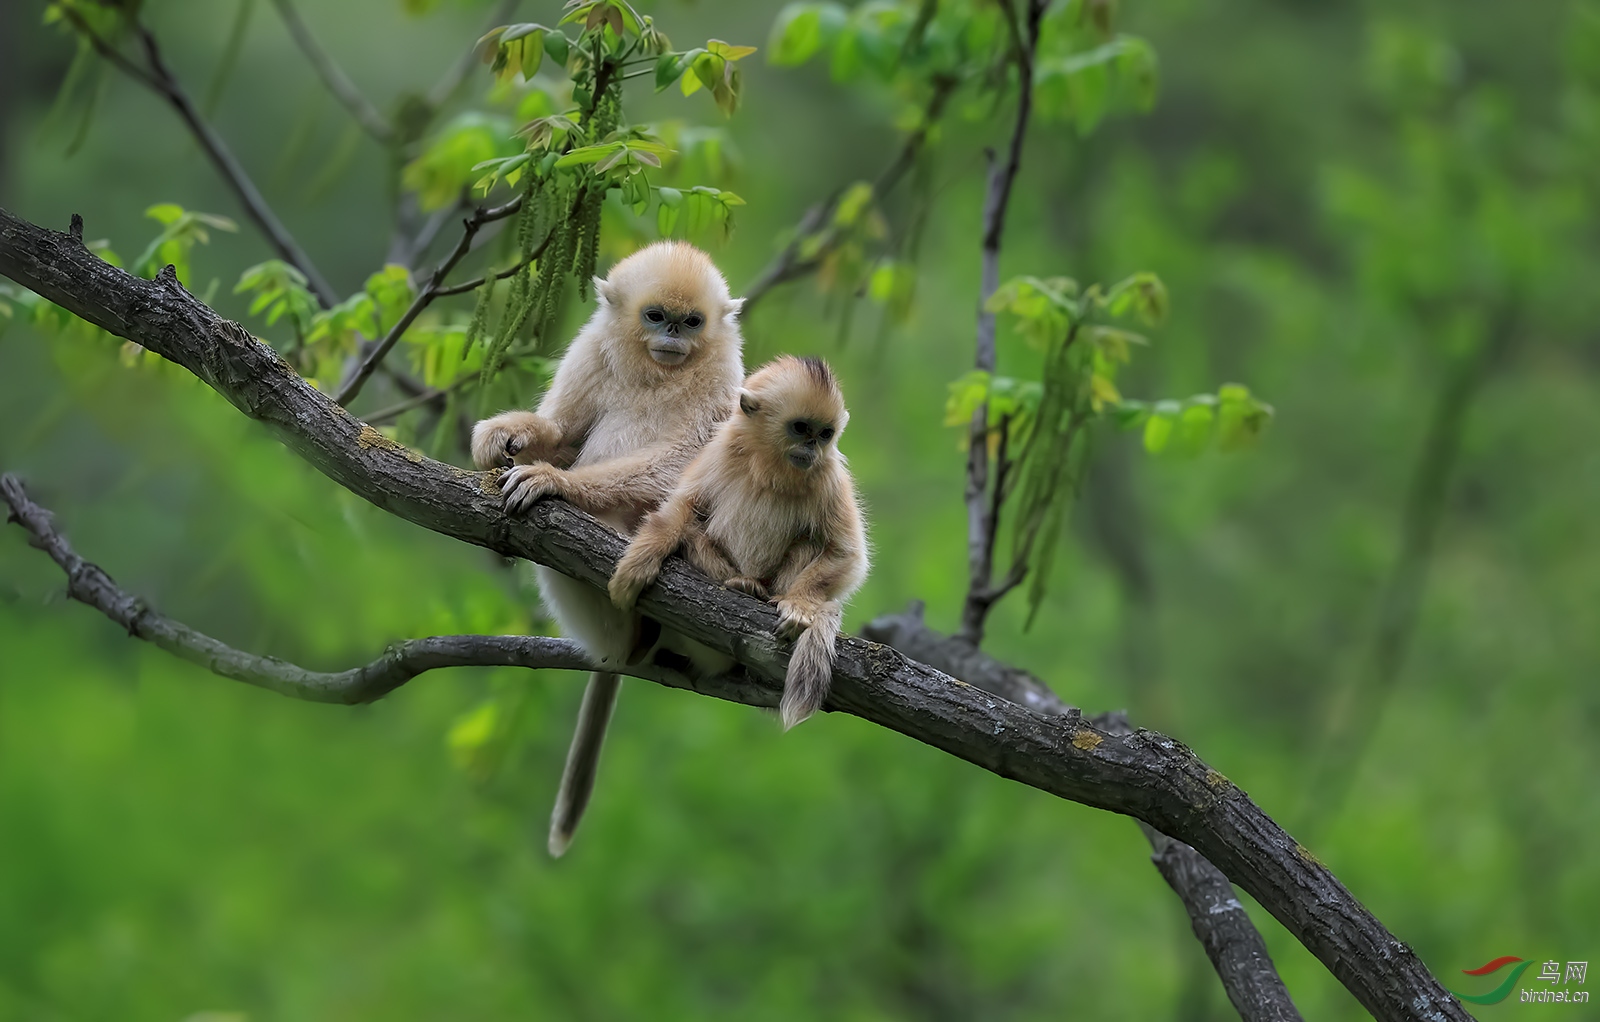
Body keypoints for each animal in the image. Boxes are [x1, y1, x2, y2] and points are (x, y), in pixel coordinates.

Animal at [467, 241, 742, 857]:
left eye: (692, 322)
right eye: (655, 316)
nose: (674, 337)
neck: (659, 373)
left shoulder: (727, 378)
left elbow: (687, 463)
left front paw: (555, 483)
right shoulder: (591, 352)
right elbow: (564, 433)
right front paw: (508, 435)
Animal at [604, 355, 870, 732]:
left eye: (825, 434)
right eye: (801, 428)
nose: (812, 446)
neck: (771, 467)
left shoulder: (829, 474)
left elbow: (846, 553)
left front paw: (801, 604)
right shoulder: (721, 451)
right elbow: (680, 509)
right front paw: (641, 562)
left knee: (808, 545)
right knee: (692, 532)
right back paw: (741, 584)